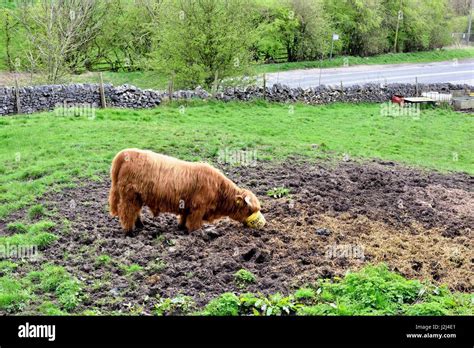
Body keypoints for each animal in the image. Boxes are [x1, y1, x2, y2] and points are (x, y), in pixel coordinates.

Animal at [108, 148, 266, 235]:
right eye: (250, 210)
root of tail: (126, 153)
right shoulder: (198, 208)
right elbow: (194, 223)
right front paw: (196, 233)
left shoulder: (187, 206)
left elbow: (184, 219)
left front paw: (181, 227)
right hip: (129, 196)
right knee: (127, 212)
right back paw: (130, 232)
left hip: (137, 197)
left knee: (136, 211)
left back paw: (141, 225)